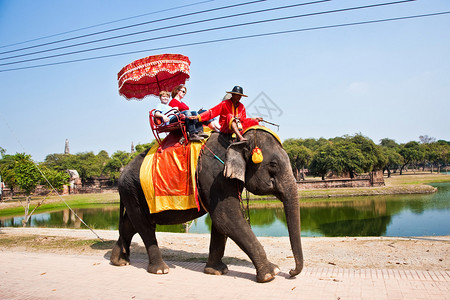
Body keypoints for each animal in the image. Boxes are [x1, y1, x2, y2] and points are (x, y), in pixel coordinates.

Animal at [110, 127, 304, 282]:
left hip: (132, 193)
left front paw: (217, 271)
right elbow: (226, 218)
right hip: (132, 190)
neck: (236, 138)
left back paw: (118, 261)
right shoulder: (214, 176)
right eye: (273, 164)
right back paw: (160, 270)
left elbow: (220, 222)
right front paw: (271, 273)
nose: (291, 272)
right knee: (144, 226)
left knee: (131, 224)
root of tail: (122, 173)